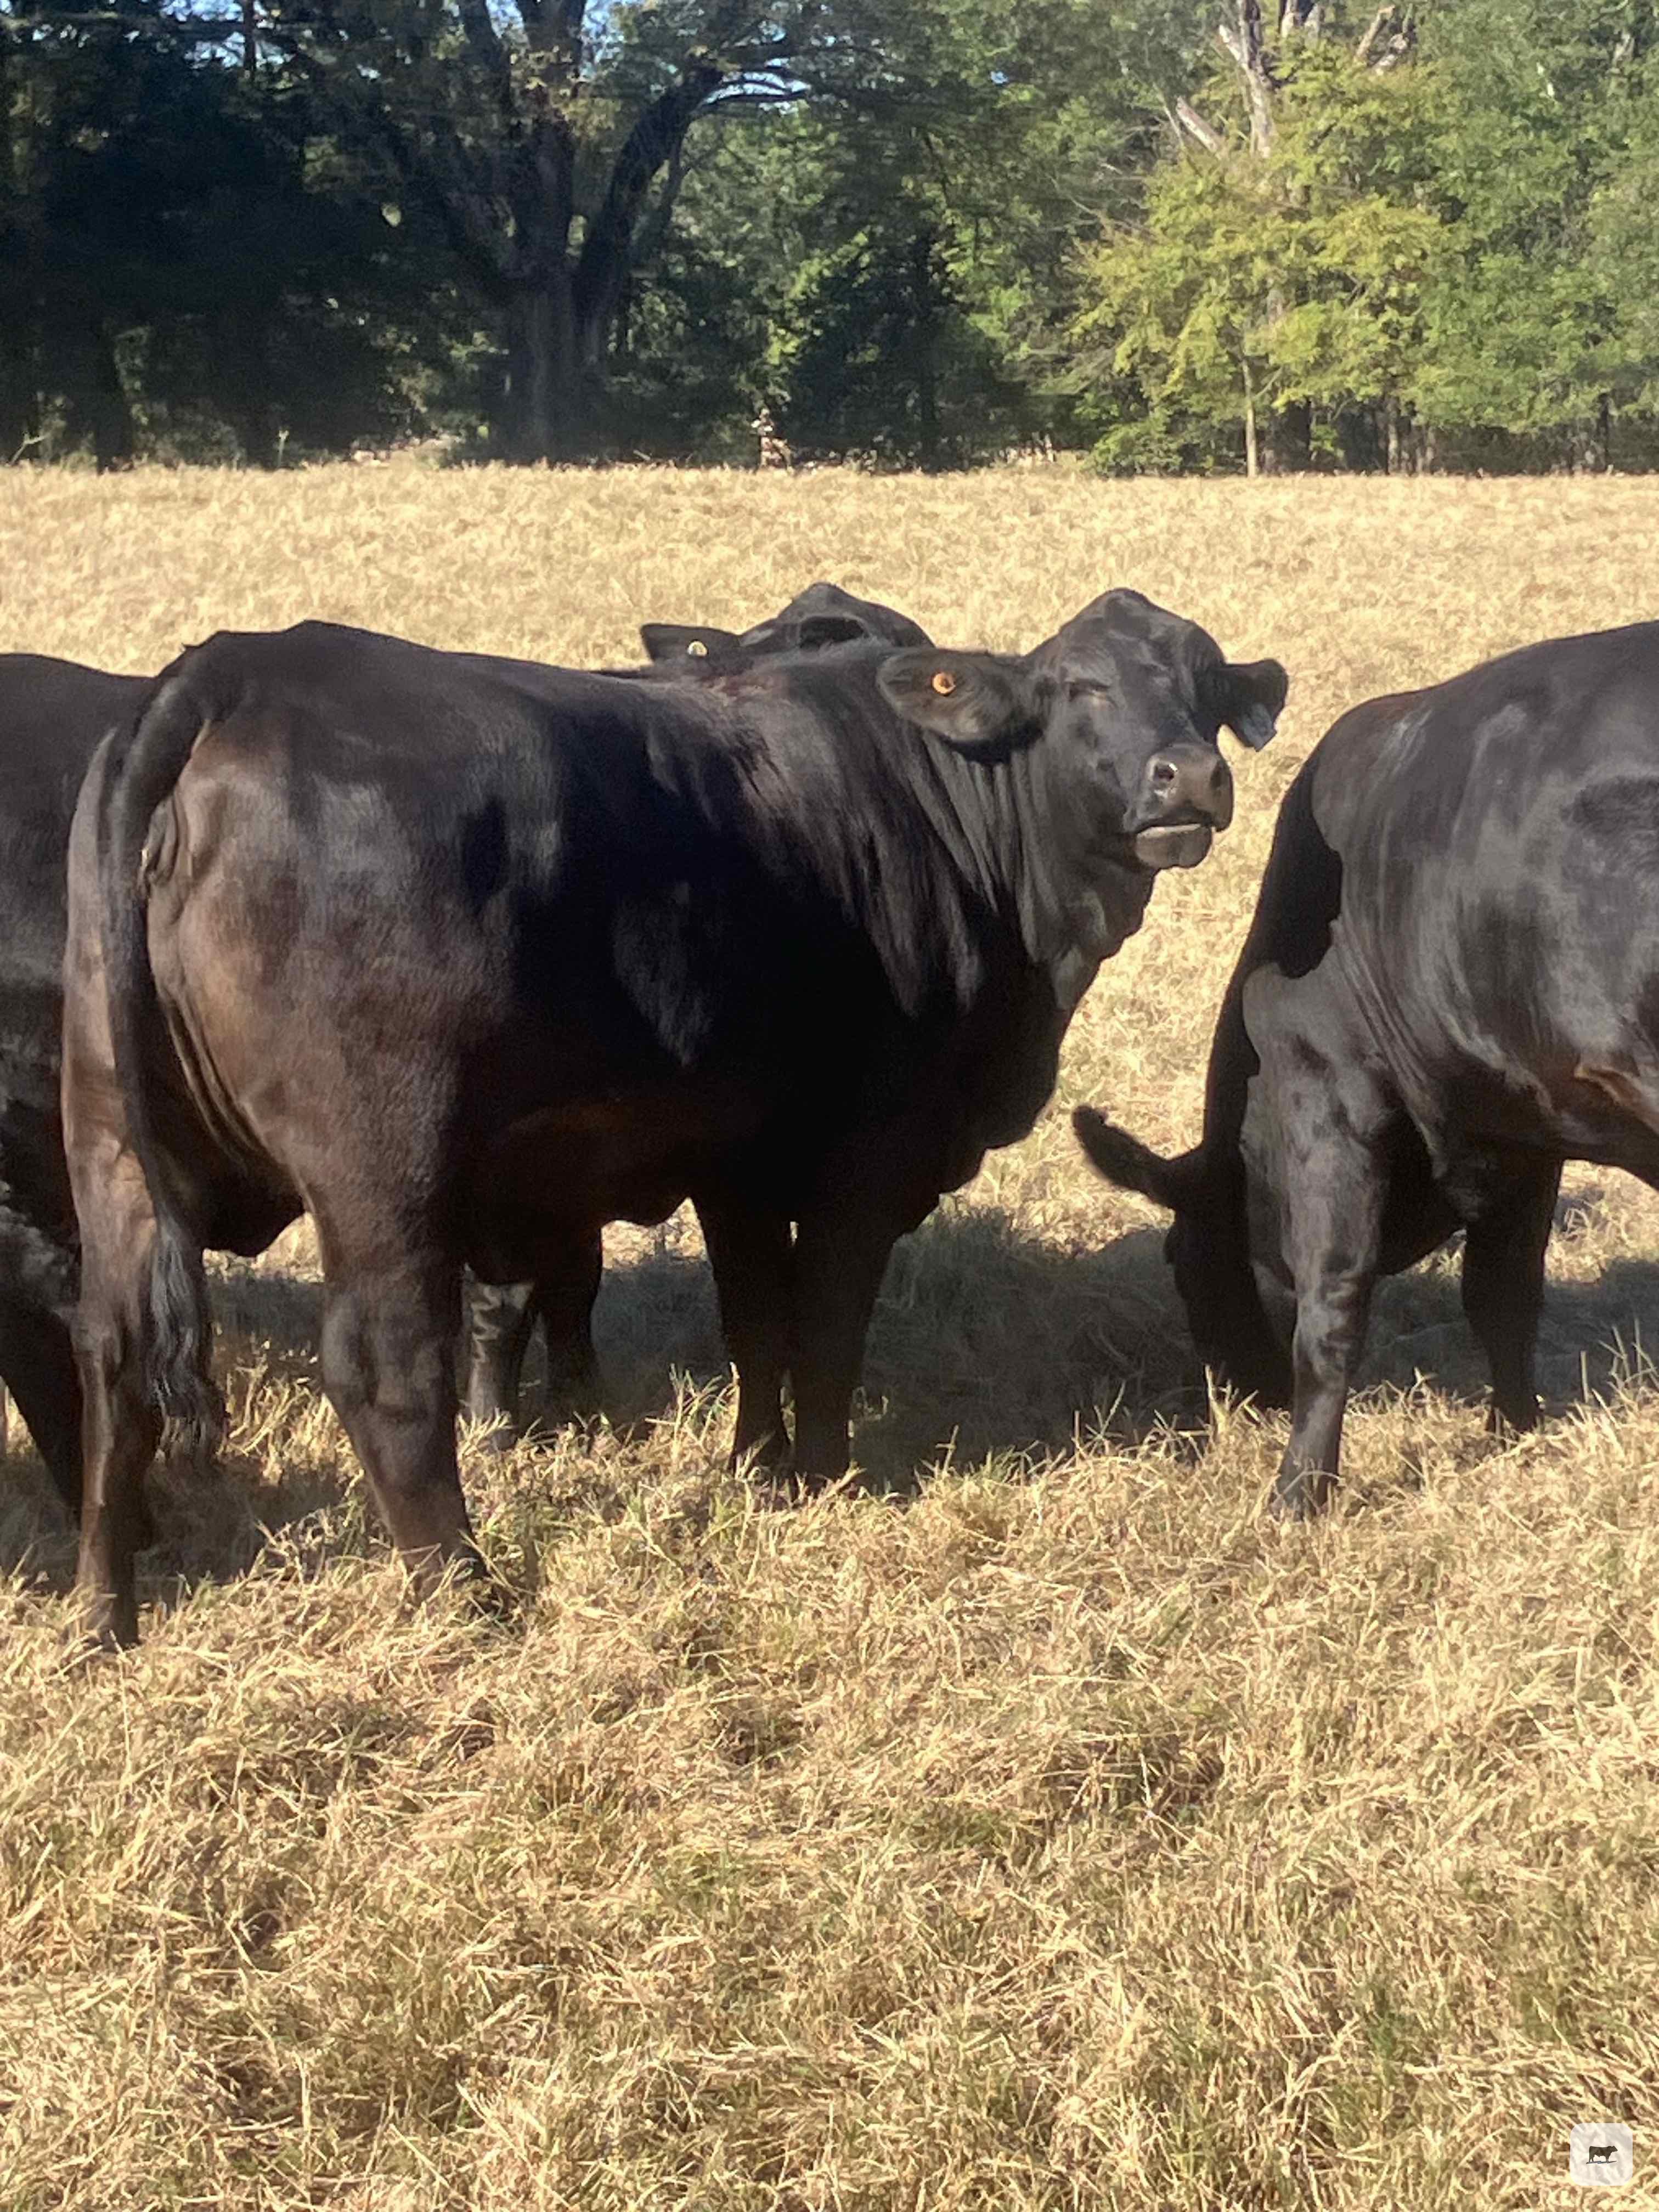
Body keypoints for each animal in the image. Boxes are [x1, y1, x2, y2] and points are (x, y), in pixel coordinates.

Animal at [65, 590, 1284, 1644]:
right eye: (1082, 686)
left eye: (1205, 685)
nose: (1188, 776)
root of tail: (237, 669)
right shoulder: (863, 1163)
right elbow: (825, 1329)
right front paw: (829, 1476)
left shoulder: (732, 1159)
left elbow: (756, 1324)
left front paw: (761, 1470)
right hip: (382, 1170)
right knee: (389, 1369)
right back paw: (464, 1588)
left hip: (113, 1151)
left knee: (111, 1363)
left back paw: (102, 1610)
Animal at [1074, 620, 1659, 1518]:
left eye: (1179, 1259)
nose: (1241, 1394)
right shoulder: (1522, 1130)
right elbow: (1504, 1293)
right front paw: (1514, 1430)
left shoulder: (1327, 1094)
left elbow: (1332, 1307)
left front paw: (1298, 1491)